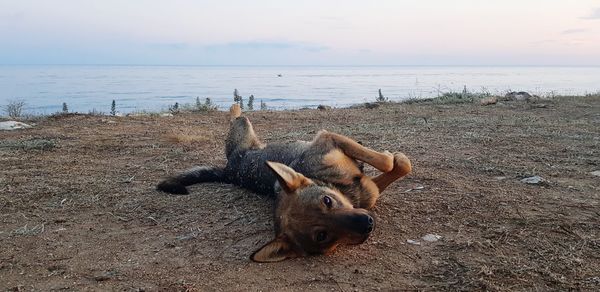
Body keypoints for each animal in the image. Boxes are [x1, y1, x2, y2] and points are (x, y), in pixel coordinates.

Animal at [156, 104, 412, 262]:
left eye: (327, 201)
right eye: (322, 236)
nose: (367, 224)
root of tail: (230, 171)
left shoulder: (328, 137)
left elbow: (389, 163)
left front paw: (390, 156)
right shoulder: (365, 186)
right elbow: (395, 164)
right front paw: (394, 156)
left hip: (247, 134)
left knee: (236, 116)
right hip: (243, 131)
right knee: (237, 116)